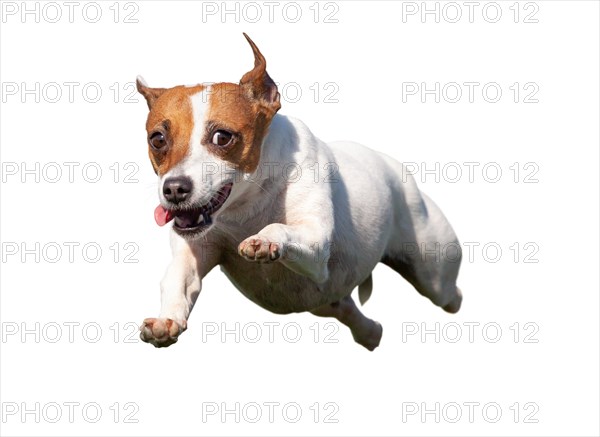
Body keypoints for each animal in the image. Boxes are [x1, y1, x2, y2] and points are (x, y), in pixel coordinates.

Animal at [137, 32, 464, 350]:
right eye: (157, 139)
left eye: (222, 137)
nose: (174, 189)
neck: (246, 205)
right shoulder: (194, 250)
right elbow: (179, 278)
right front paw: (167, 321)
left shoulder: (316, 245)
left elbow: (282, 228)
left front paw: (265, 239)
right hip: (325, 299)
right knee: (348, 310)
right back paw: (370, 333)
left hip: (433, 272)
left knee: (450, 296)